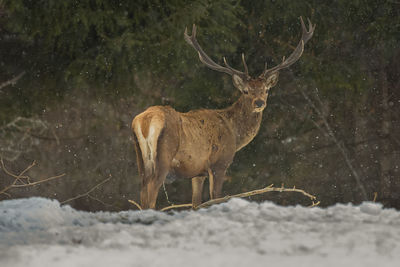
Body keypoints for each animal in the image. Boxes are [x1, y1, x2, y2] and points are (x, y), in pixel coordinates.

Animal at [133, 16, 314, 210]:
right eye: (246, 91)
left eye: (266, 90)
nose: (259, 102)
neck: (234, 133)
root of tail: (145, 122)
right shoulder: (219, 164)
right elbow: (215, 198)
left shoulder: (198, 172)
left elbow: (196, 204)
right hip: (163, 157)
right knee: (151, 192)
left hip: (140, 159)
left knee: (142, 191)